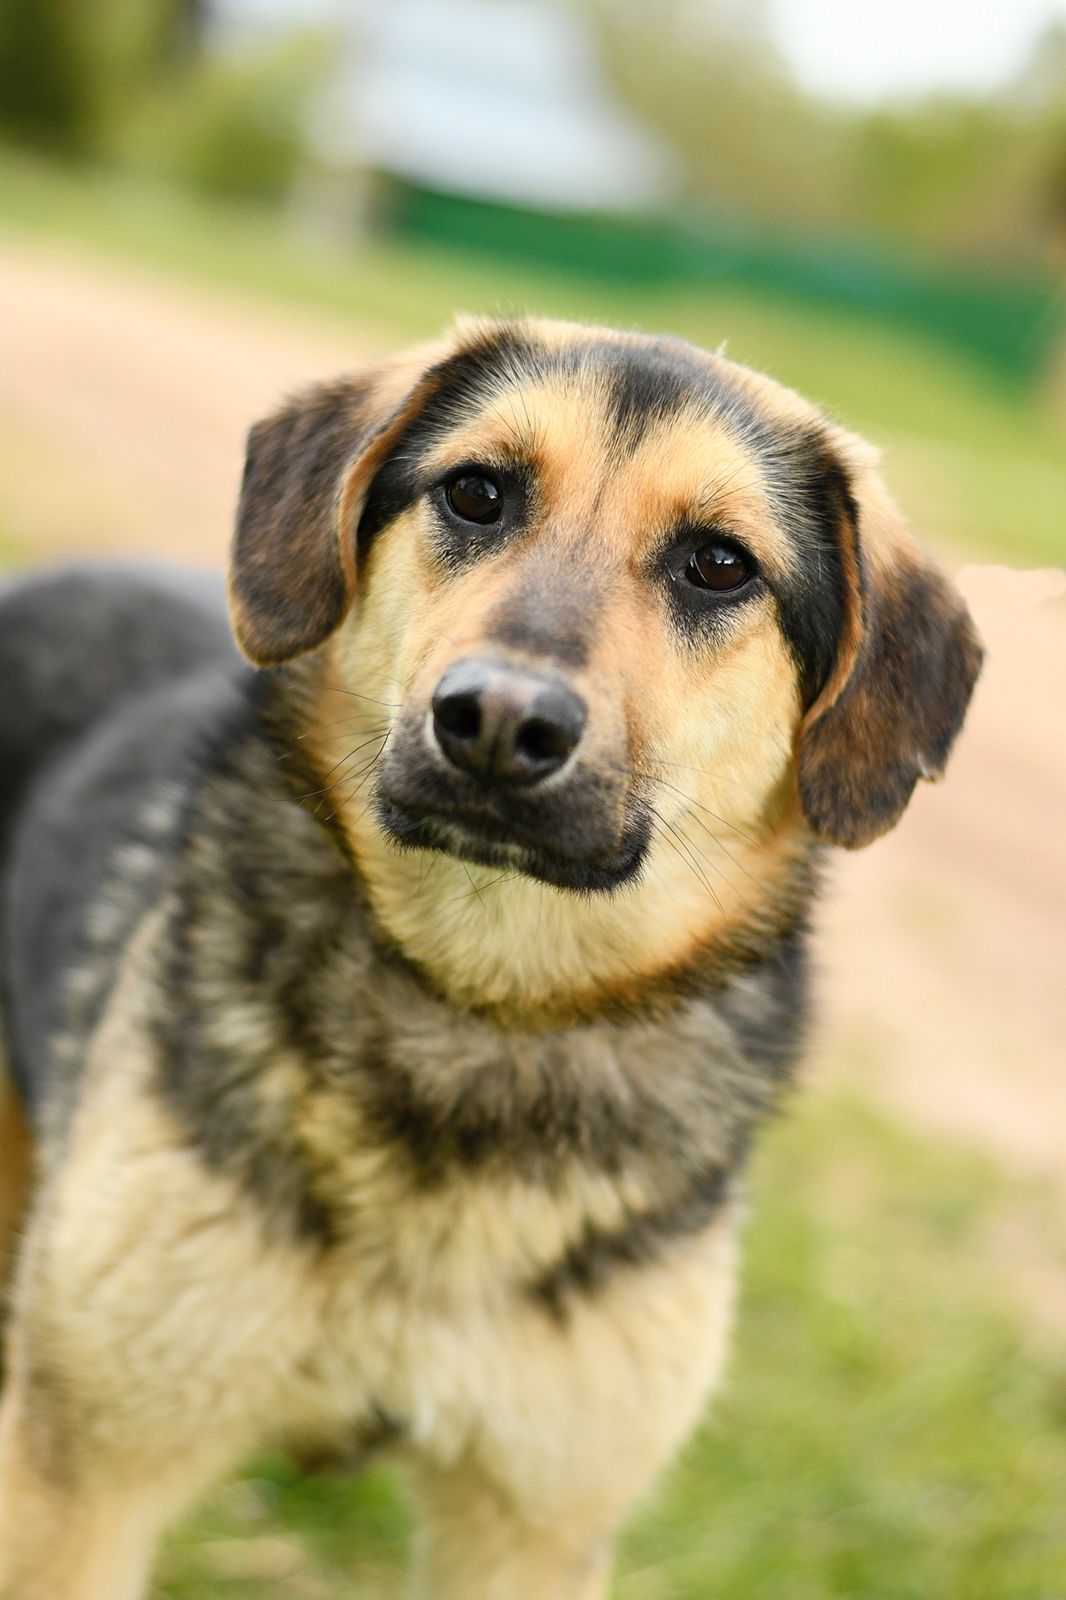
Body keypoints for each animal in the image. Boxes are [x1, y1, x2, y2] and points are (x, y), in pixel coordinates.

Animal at [0, 318, 979, 1593]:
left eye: (719, 564)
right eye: (476, 493)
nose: (502, 722)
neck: (484, 1003)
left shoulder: (530, 1525)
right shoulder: (86, 1474)